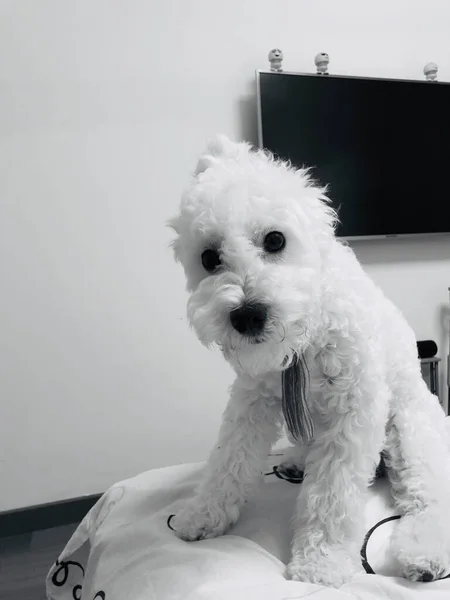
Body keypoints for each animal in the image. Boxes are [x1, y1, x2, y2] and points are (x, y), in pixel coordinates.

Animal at [167, 135, 450, 584]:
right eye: (209, 258)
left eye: (275, 240)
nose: (247, 315)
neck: (303, 342)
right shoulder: (251, 402)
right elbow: (228, 460)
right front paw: (202, 514)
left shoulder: (352, 414)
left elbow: (331, 497)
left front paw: (321, 563)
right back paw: (296, 463)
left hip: (411, 433)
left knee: (430, 498)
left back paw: (426, 555)